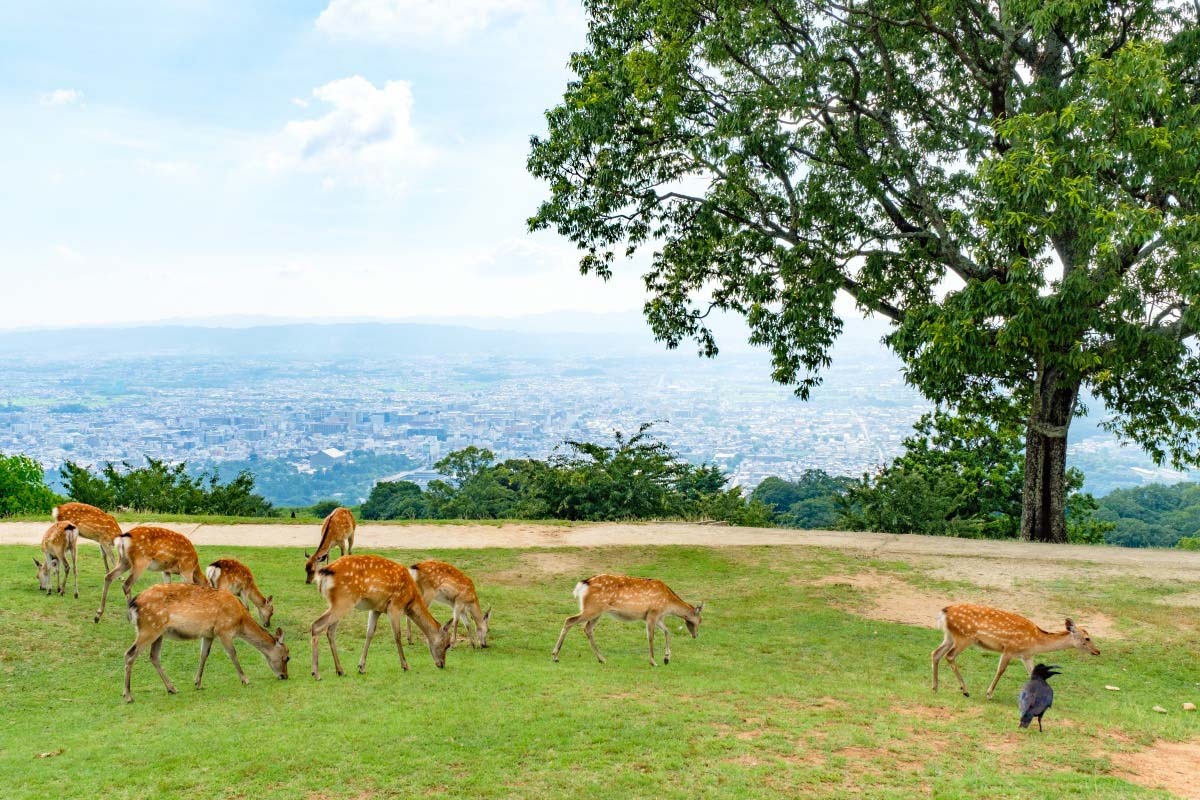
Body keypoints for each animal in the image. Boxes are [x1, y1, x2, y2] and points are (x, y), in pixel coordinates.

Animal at [123, 582, 289, 700]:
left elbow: (204, 655)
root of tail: (133, 604)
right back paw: (128, 696)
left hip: (158, 632)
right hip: (149, 628)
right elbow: (233, 654)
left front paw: (198, 683)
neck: (240, 621)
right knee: (130, 654)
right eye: (287, 657)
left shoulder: (209, 634)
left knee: (154, 656)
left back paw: (172, 688)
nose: (285, 676)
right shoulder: (223, 630)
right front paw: (245, 679)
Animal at [309, 556, 453, 681]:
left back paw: (340, 670)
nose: (442, 664)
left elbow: (370, 633)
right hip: (344, 600)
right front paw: (405, 665)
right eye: (447, 644)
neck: (410, 600)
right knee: (317, 625)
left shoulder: (376, 608)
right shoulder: (394, 606)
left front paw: (361, 667)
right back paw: (316, 673)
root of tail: (324, 573)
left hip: (337, 603)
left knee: (330, 631)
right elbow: (397, 635)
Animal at [549, 573, 700, 666]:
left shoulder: (657, 617)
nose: (696, 635)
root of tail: (583, 584)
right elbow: (651, 637)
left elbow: (668, 631)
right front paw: (653, 661)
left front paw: (666, 658)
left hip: (597, 611)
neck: (668, 605)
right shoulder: (652, 613)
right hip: (592, 608)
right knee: (569, 620)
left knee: (587, 628)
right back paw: (555, 656)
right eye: (700, 620)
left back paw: (601, 659)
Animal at [931, 604, 1099, 695]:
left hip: (949, 636)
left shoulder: (1026, 655)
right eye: (1087, 638)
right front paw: (989, 693)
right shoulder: (1010, 648)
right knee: (949, 656)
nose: (1097, 651)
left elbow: (1032, 674)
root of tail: (944, 611)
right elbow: (1000, 670)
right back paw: (965, 690)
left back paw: (935, 687)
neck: (1035, 640)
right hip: (963, 637)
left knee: (935, 653)